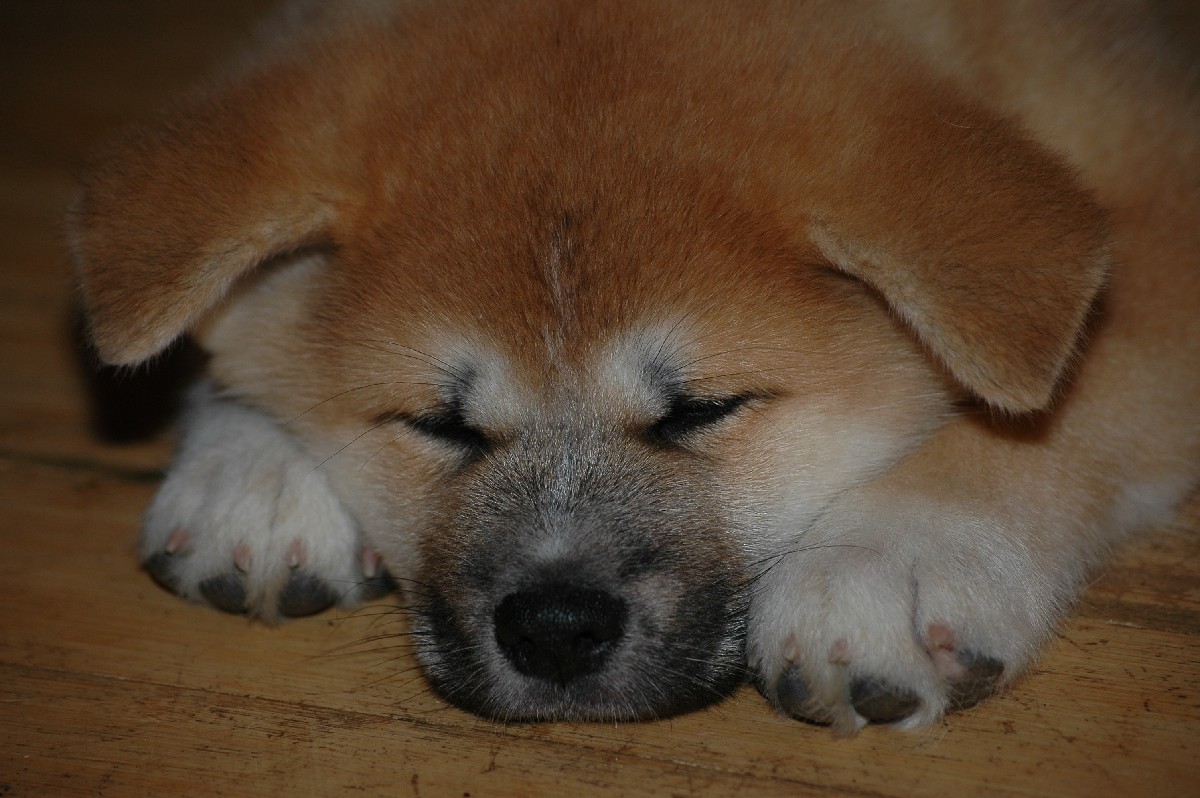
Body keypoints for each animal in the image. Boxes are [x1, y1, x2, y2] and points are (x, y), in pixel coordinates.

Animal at [70, 0, 1198, 735]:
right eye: (440, 424)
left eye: (702, 409)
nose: (555, 629)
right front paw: (251, 459)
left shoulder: (1161, 216)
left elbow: (1066, 397)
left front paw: (895, 551)